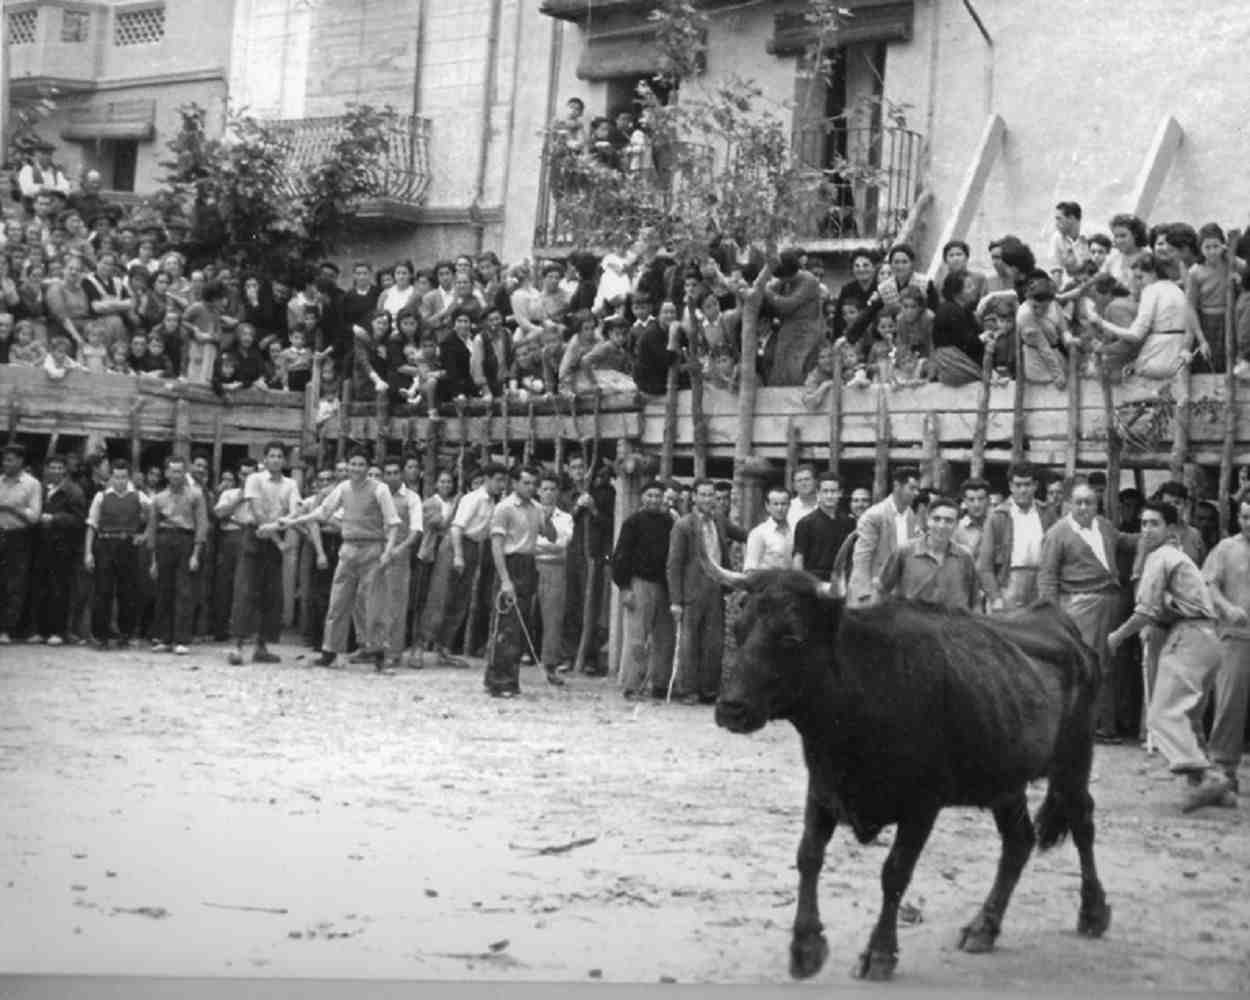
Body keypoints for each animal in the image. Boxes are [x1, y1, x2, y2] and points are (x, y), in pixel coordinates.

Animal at [710, 567, 1110, 980]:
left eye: (791, 636)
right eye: (739, 628)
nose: (730, 708)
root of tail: (1061, 625)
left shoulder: (922, 805)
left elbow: (895, 873)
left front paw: (880, 953)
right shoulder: (822, 789)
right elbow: (808, 857)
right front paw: (806, 946)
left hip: (1073, 761)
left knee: (1082, 822)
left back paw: (1092, 912)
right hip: (1005, 778)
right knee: (1018, 842)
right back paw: (983, 927)